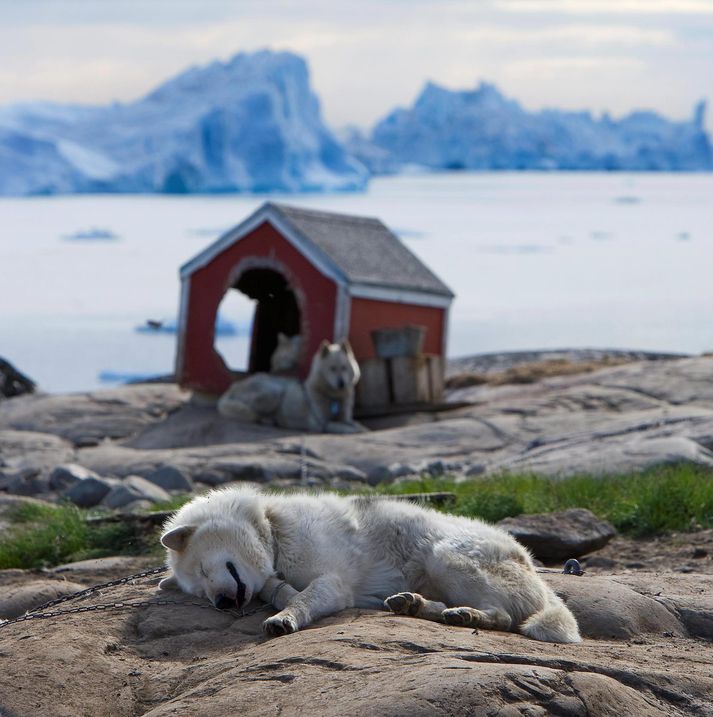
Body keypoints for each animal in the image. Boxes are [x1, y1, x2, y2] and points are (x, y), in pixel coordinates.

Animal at [217, 338, 364, 434]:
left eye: (344, 368)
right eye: (332, 368)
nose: (341, 383)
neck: (334, 397)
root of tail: (234, 386)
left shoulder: (345, 419)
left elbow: (356, 425)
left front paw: (361, 428)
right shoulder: (323, 424)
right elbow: (352, 430)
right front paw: (357, 431)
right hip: (274, 392)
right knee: (253, 413)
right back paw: (269, 419)